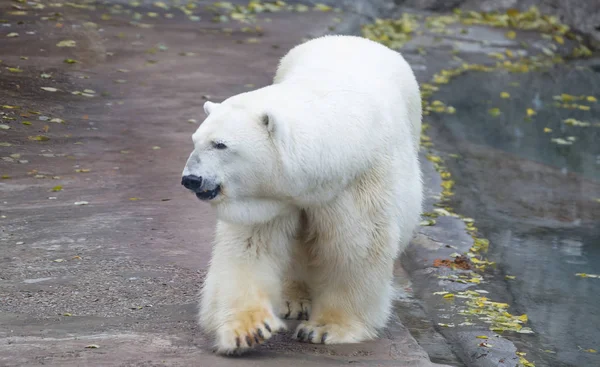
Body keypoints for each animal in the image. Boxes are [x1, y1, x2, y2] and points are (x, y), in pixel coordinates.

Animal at [182, 34, 422, 356]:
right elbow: (250, 247)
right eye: (196, 140)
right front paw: (248, 330)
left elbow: (356, 249)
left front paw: (325, 329)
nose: (191, 179)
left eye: (220, 144)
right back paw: (292, 300)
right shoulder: (273, 197)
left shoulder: (358, 183)